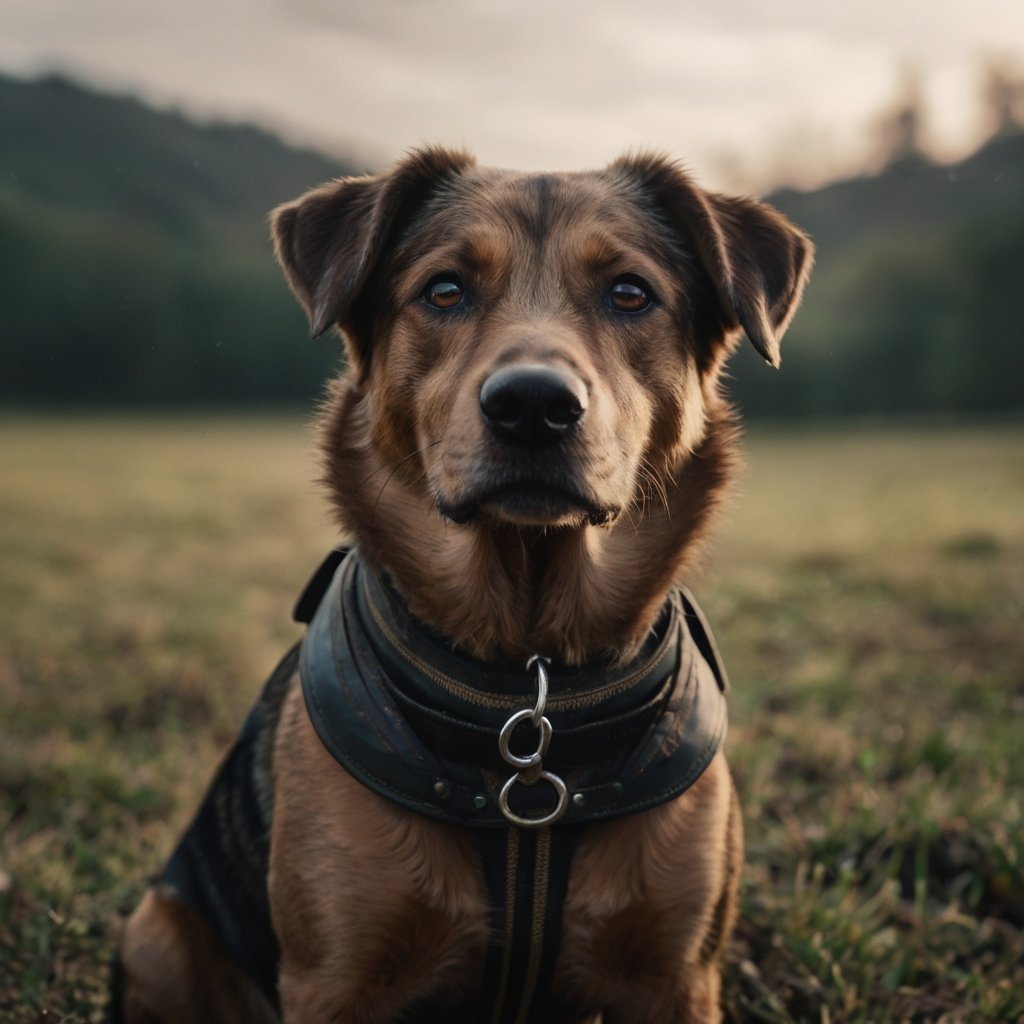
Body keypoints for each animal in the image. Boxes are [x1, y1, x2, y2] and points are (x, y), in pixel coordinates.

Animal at [112, 146, 811, 1024]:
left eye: (630, 293)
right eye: (444, 291)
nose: (534, 405)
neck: (527, 678)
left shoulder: (677, 977)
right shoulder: (334, 978)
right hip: (156, 936)